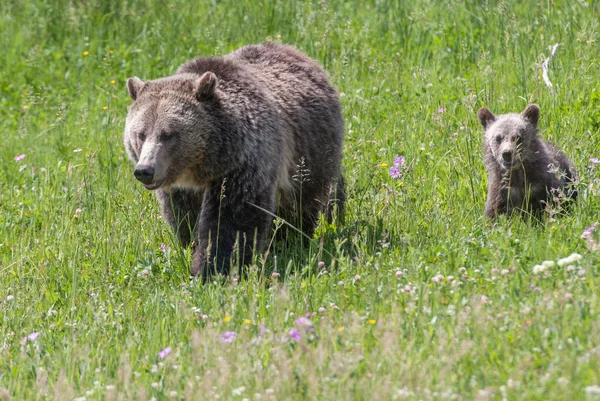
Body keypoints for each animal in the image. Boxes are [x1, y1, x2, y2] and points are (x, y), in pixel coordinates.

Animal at [124, 43, 344, 278]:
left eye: (168, 134)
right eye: (140, 134)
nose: (145, 170)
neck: (202, 165)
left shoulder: (243, 164)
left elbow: (231, 220)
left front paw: (213, 267)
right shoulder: (180, 189)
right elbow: (183, 218)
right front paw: (192, 248)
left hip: (311, 151)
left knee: (302, 202)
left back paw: (292, 239)